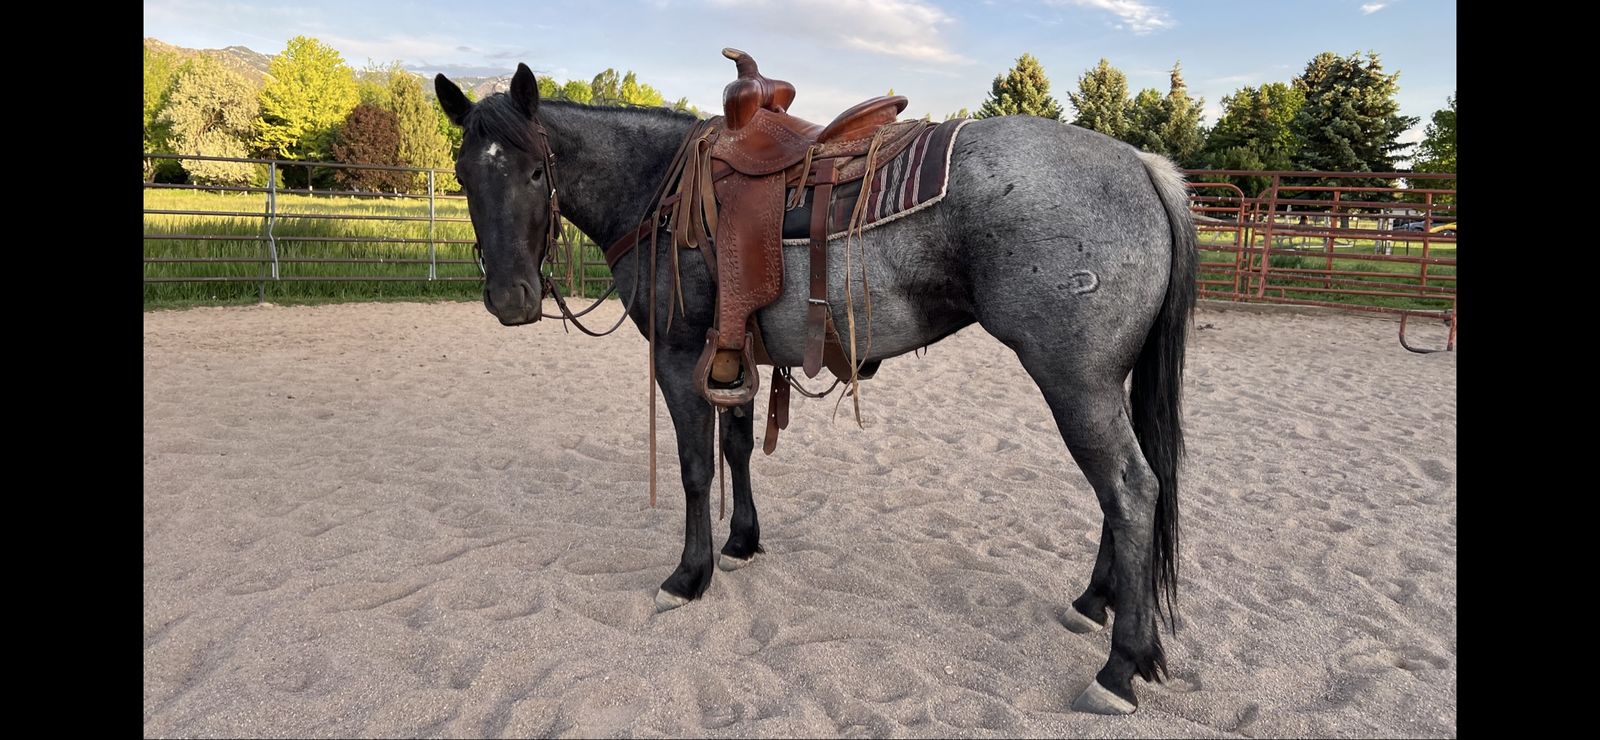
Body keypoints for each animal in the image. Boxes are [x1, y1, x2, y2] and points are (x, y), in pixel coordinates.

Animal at [434, 62, 1197, 715]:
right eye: (464, 174)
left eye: (537, 171)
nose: (510, 299)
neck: (657, 187)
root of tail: (1140, 163)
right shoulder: (735, 355)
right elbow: (738, 449)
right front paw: (741, 542)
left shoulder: (679, 357)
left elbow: (694, 467)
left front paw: (688, 575)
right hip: (1103, 383)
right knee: (1124, 489)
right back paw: (1092, 603)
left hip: (1075, 381)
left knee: (1130, 489)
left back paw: (1120, 667)